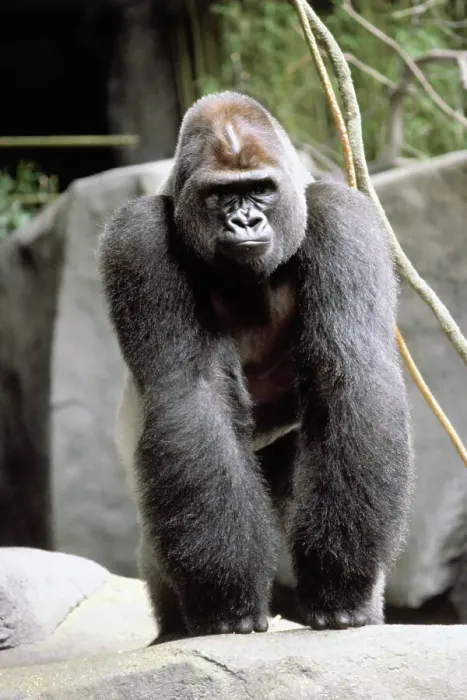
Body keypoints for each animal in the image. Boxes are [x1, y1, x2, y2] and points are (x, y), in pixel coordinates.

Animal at [98, 90, 413, 642]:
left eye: (260, 190)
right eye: (222, 195)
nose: (244, 221)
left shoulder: (344, 218)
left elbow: (350, 374)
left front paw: (340, 587)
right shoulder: (137, 239)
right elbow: (193, 394)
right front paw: (226, 599)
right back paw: (174, 628)